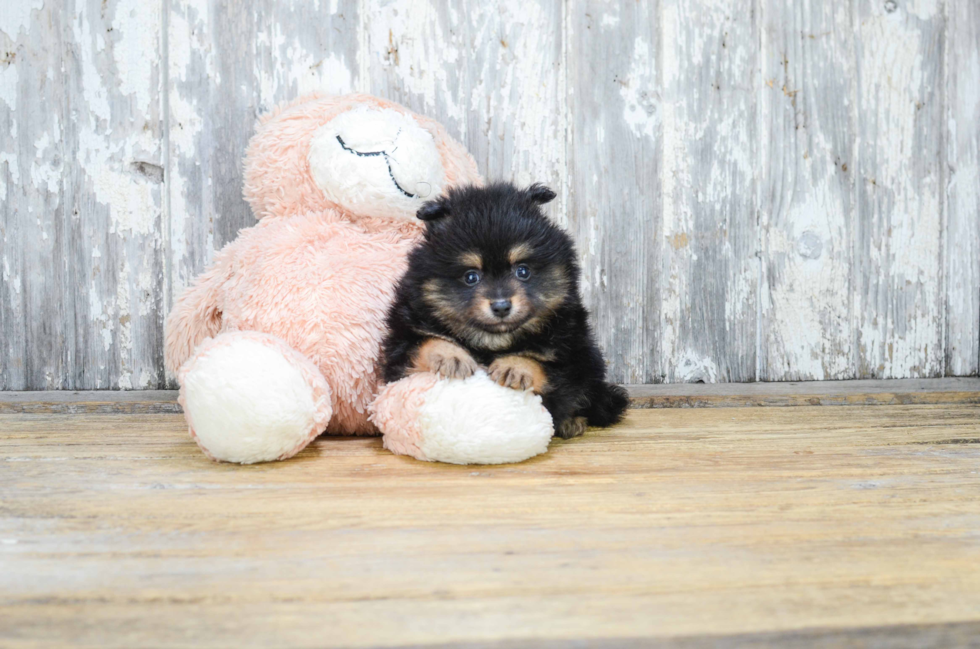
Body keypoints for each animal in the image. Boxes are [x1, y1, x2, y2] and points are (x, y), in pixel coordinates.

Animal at [378, 180, 624, 438]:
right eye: (471, 277)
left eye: (522, 271)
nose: (501, 305)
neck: (492, 342)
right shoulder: (400, 344)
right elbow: (426, 342)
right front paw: (450, 355)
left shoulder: (571, 356)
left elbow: (545, 367)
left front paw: (515, 366)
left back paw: (572, 422)